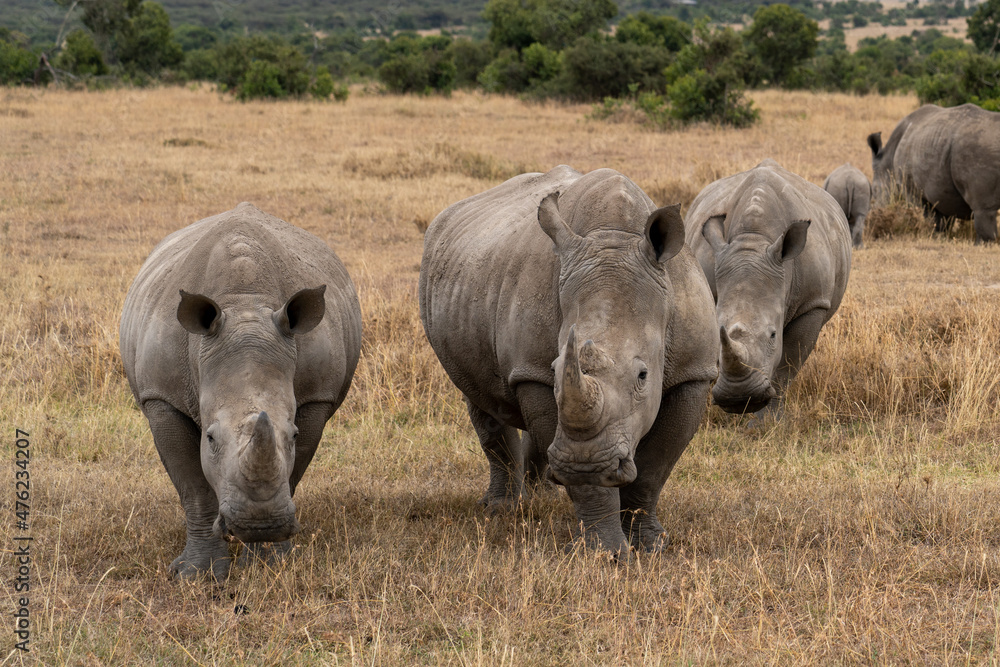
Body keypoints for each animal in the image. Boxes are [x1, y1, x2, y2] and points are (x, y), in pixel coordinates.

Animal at [120, 202, 362, 579]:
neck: (245, 306)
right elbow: (193, 487)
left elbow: (293, 472)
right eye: (211, 438)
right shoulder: (161, 396)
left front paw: (270, 564)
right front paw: (196, 575)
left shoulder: (316, 397)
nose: (259, 525)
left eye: (292, 434)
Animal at [419, 166, 719, 558]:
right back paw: (501, 510)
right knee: (480, 400)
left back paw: (540, 497)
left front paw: (650, 546)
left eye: (642, 375)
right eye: (555, 369)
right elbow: (589, 479)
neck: (614, 237)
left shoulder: (692, 372)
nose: (584, 462)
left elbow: (655, 468)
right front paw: (606, 553)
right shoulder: (532, 372)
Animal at [685, 159, 851, 416]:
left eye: (773, 334)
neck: (753, 240)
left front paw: (766, 420)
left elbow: (787, 365)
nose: (739, 399)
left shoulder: (812, 303)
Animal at [867, 104, 1000, 243]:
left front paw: (926, 232)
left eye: (874, 191)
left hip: (977, 149)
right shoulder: (941, 190)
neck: (888, 160)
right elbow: (943, 219)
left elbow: (924, 214)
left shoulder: (911, 190)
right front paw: (940, 236)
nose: (871, 220)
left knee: (982, 209)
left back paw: (980, 244)